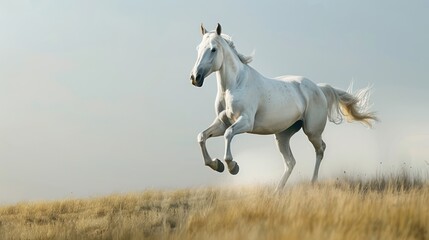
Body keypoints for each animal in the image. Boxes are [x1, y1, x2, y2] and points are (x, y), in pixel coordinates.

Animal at [189, 23, 376, 190]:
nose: (195, 78)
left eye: (213, 49)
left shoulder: (246, 122)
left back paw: (312, 183)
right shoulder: (222, 123)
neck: (234, 85)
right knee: (290, 162)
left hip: (312, 131)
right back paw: (277, 191)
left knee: (320, 149)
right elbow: (201, 136)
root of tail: (318, 88)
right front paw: (216, 164)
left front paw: (232, 166)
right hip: (283, 135)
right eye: (198, 48)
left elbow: (228, 135)